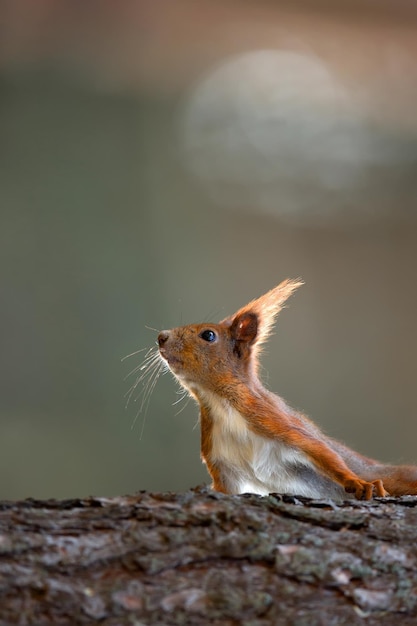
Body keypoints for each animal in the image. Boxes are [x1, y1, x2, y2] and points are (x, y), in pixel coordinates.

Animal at [156, 280, 416, 498]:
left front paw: (359, 483)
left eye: (208, 335)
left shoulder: (276, 420)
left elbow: (324, 452)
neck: (219, 402)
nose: (161, 336)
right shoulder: (222, 466)